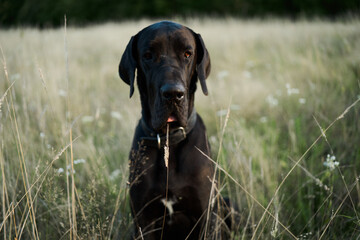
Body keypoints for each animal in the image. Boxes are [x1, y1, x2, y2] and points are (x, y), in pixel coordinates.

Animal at [119, 21, 229, 240]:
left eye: (188, 53)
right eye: (148, 55)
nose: (173, 94)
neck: (168, 138)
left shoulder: (206, 217)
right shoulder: (143, 220)